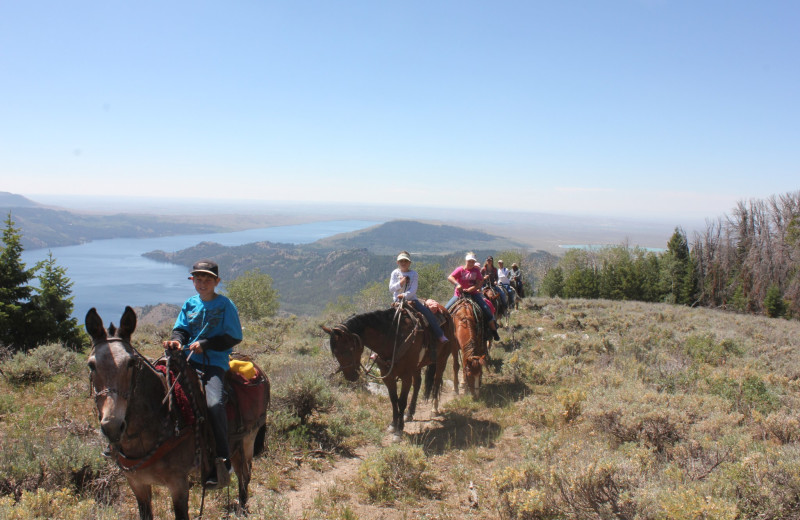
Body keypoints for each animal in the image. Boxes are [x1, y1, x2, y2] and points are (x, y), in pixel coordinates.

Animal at [86, 306, 268, 516]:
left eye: (130, 363)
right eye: (91, 365)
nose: (113, 426)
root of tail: (257, 370)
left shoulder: (178, 484)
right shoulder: (137, 484)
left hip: (248, 439)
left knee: (245, 475)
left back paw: (242, 509)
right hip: (237, 445)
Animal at [320, 302, 456, 440]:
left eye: (348, 350)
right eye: (335, 353)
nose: (350, 377)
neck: (393, 337)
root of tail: (444, 311)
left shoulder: (406, 375)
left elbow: (401, 401)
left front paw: (399, 430)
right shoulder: (387, 375)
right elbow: (393, 399)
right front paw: (393, 425)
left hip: (442, 359)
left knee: (437, 381)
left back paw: (434, 409)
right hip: (417, 366)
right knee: (418, 383)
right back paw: (410, 413)